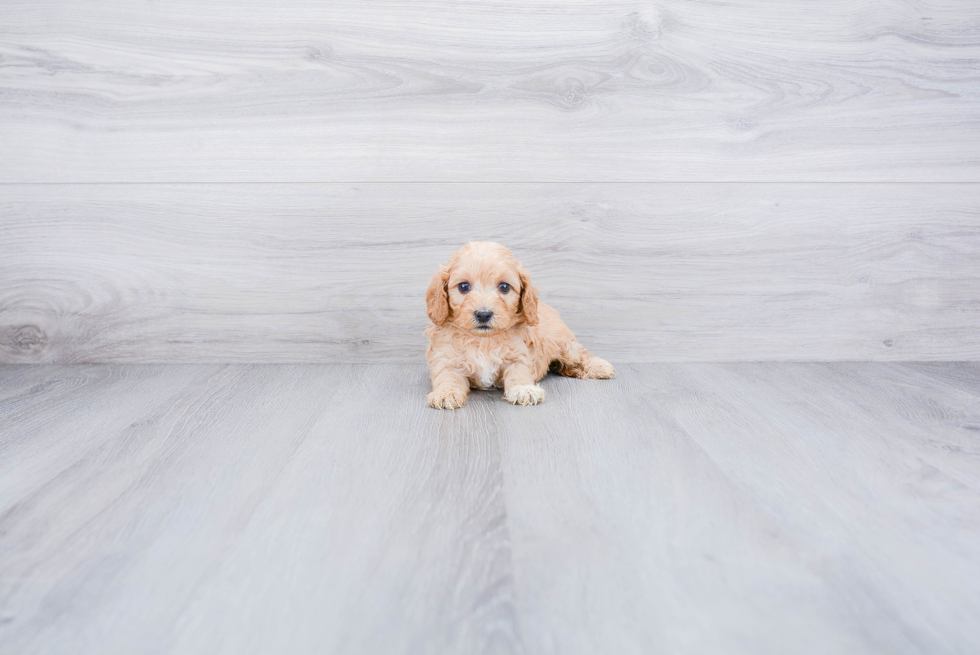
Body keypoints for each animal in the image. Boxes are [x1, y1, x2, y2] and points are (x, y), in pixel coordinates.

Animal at [424, 241, 612, 410]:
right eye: (463, 286)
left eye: (504, 287)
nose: (483, 314)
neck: (483, 340)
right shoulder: (445, 359)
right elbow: (447, 376)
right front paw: (445, 393)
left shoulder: (519, 354)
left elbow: (519, 372)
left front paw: (524, 389)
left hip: (565, 346)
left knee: (581, 354)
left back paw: (598, 366)